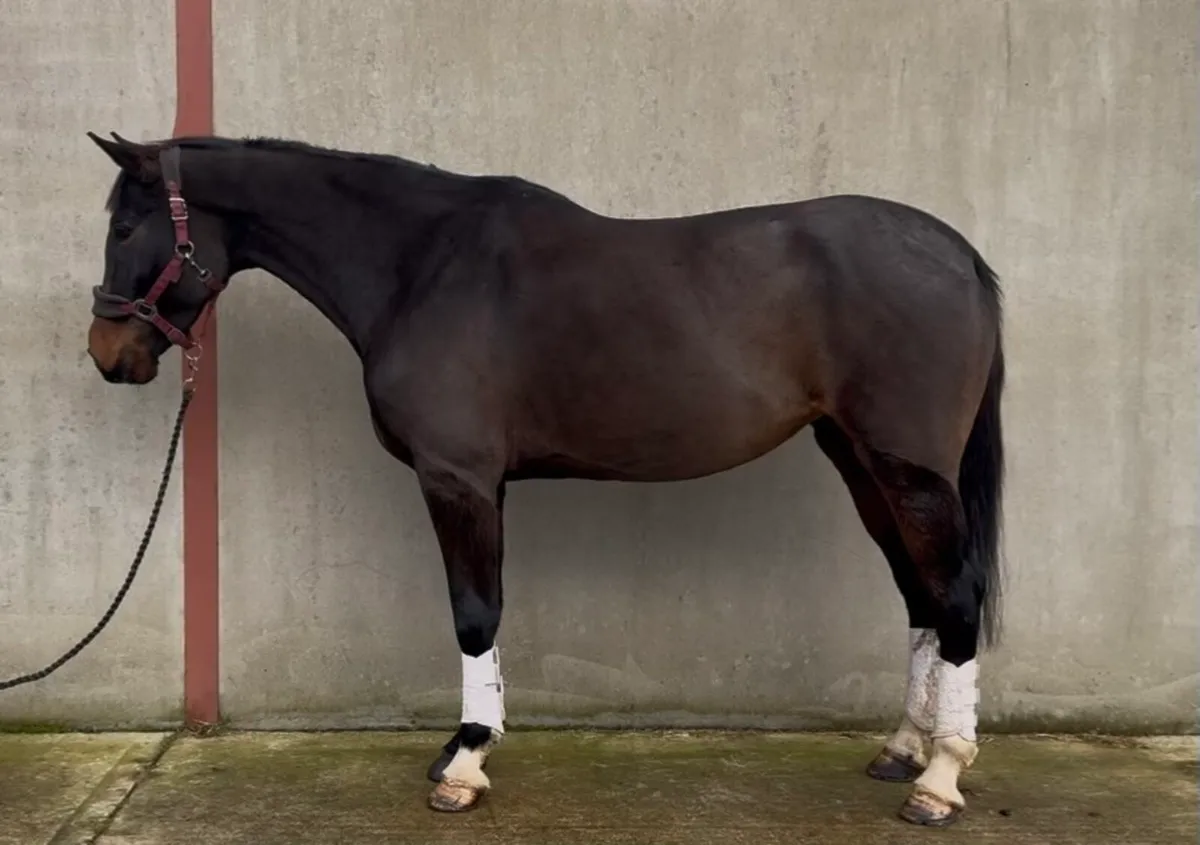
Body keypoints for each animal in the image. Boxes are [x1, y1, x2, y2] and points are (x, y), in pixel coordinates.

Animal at [83, 130, 1005, 828]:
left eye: (126, 226)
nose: (107, 353)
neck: (421, 264)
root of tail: (956, 252)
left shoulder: (457, 477)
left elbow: (473, 611)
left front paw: (464, 762)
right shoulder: (480, 483)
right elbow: (482, 612)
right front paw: (464, 748)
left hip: (907, 468)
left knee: (954, 597)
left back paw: (939, 779)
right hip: (859, 461)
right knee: (921, 598)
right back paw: (901, 749)